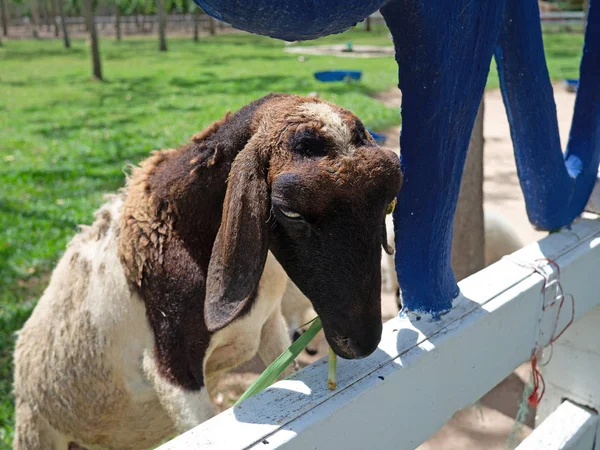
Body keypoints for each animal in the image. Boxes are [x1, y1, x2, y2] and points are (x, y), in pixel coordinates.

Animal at [11, 92, 400, 450]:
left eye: (389, 201)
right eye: (290, 211)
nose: (362, 342)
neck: (182, 231)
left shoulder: (269, 324)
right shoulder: (173, 365)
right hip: (36, 431)